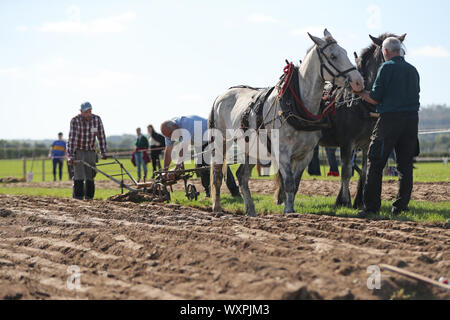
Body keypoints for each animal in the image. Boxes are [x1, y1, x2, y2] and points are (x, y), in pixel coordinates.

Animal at [209, 30, 364, 216]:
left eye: (346, 52)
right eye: (333, 56)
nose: (359, 82)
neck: (298, 107)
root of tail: (221, 95)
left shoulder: (306, 154)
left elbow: (295, 183)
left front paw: (290, 207)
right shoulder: (282, 152)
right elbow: (288, 181)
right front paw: (288, 210)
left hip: (252, 148)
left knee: (242, 176)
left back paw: (250, 210)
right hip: (221, 142)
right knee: (217, 174)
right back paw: (217, 207)